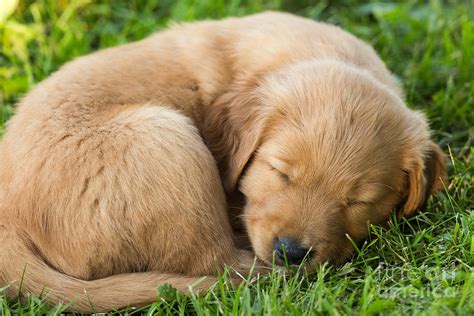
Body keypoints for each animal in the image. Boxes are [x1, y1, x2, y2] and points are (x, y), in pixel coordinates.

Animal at [0, 11, 446, 312]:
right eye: (280, 172)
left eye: (357, 201)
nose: (292, 252)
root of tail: (9, 222)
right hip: (170, 142)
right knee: (217, 265)